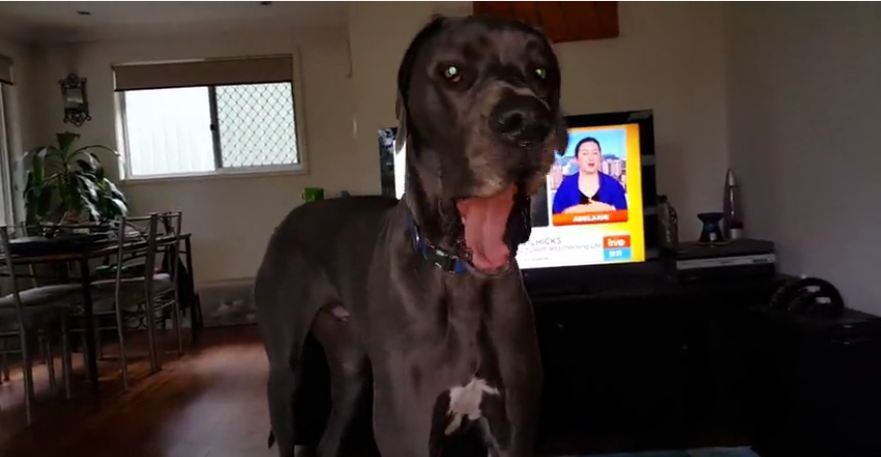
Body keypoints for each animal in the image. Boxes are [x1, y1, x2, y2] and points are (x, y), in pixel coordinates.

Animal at [254, 14, 568, 456]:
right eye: (452, 72)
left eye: (541, 73)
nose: (527, 121)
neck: (461, 279)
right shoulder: (408, 429)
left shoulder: (514, 429)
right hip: (285, 372)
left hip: (351, 372)